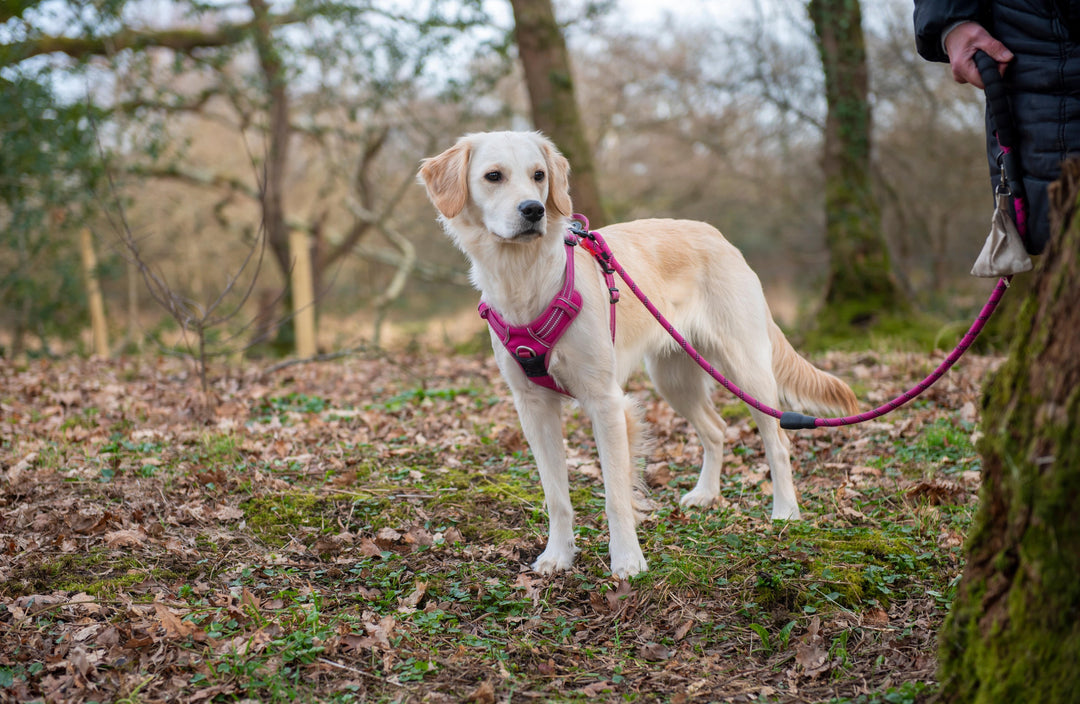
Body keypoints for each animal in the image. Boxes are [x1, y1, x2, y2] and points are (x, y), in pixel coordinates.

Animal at [416, 130, 855, 578]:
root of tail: (718, 237)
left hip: (745, 368)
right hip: (673, 378)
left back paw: (785, 511)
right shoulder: (533, 407)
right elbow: (556, 496)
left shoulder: (606, 402)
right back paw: (705, 494)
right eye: (494, 176)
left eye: (538, 175)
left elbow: (615, 495)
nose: (534, 210)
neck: (525, 276)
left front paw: (627, 559)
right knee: (716, 430)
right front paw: (558, 555)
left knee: (777, 441)